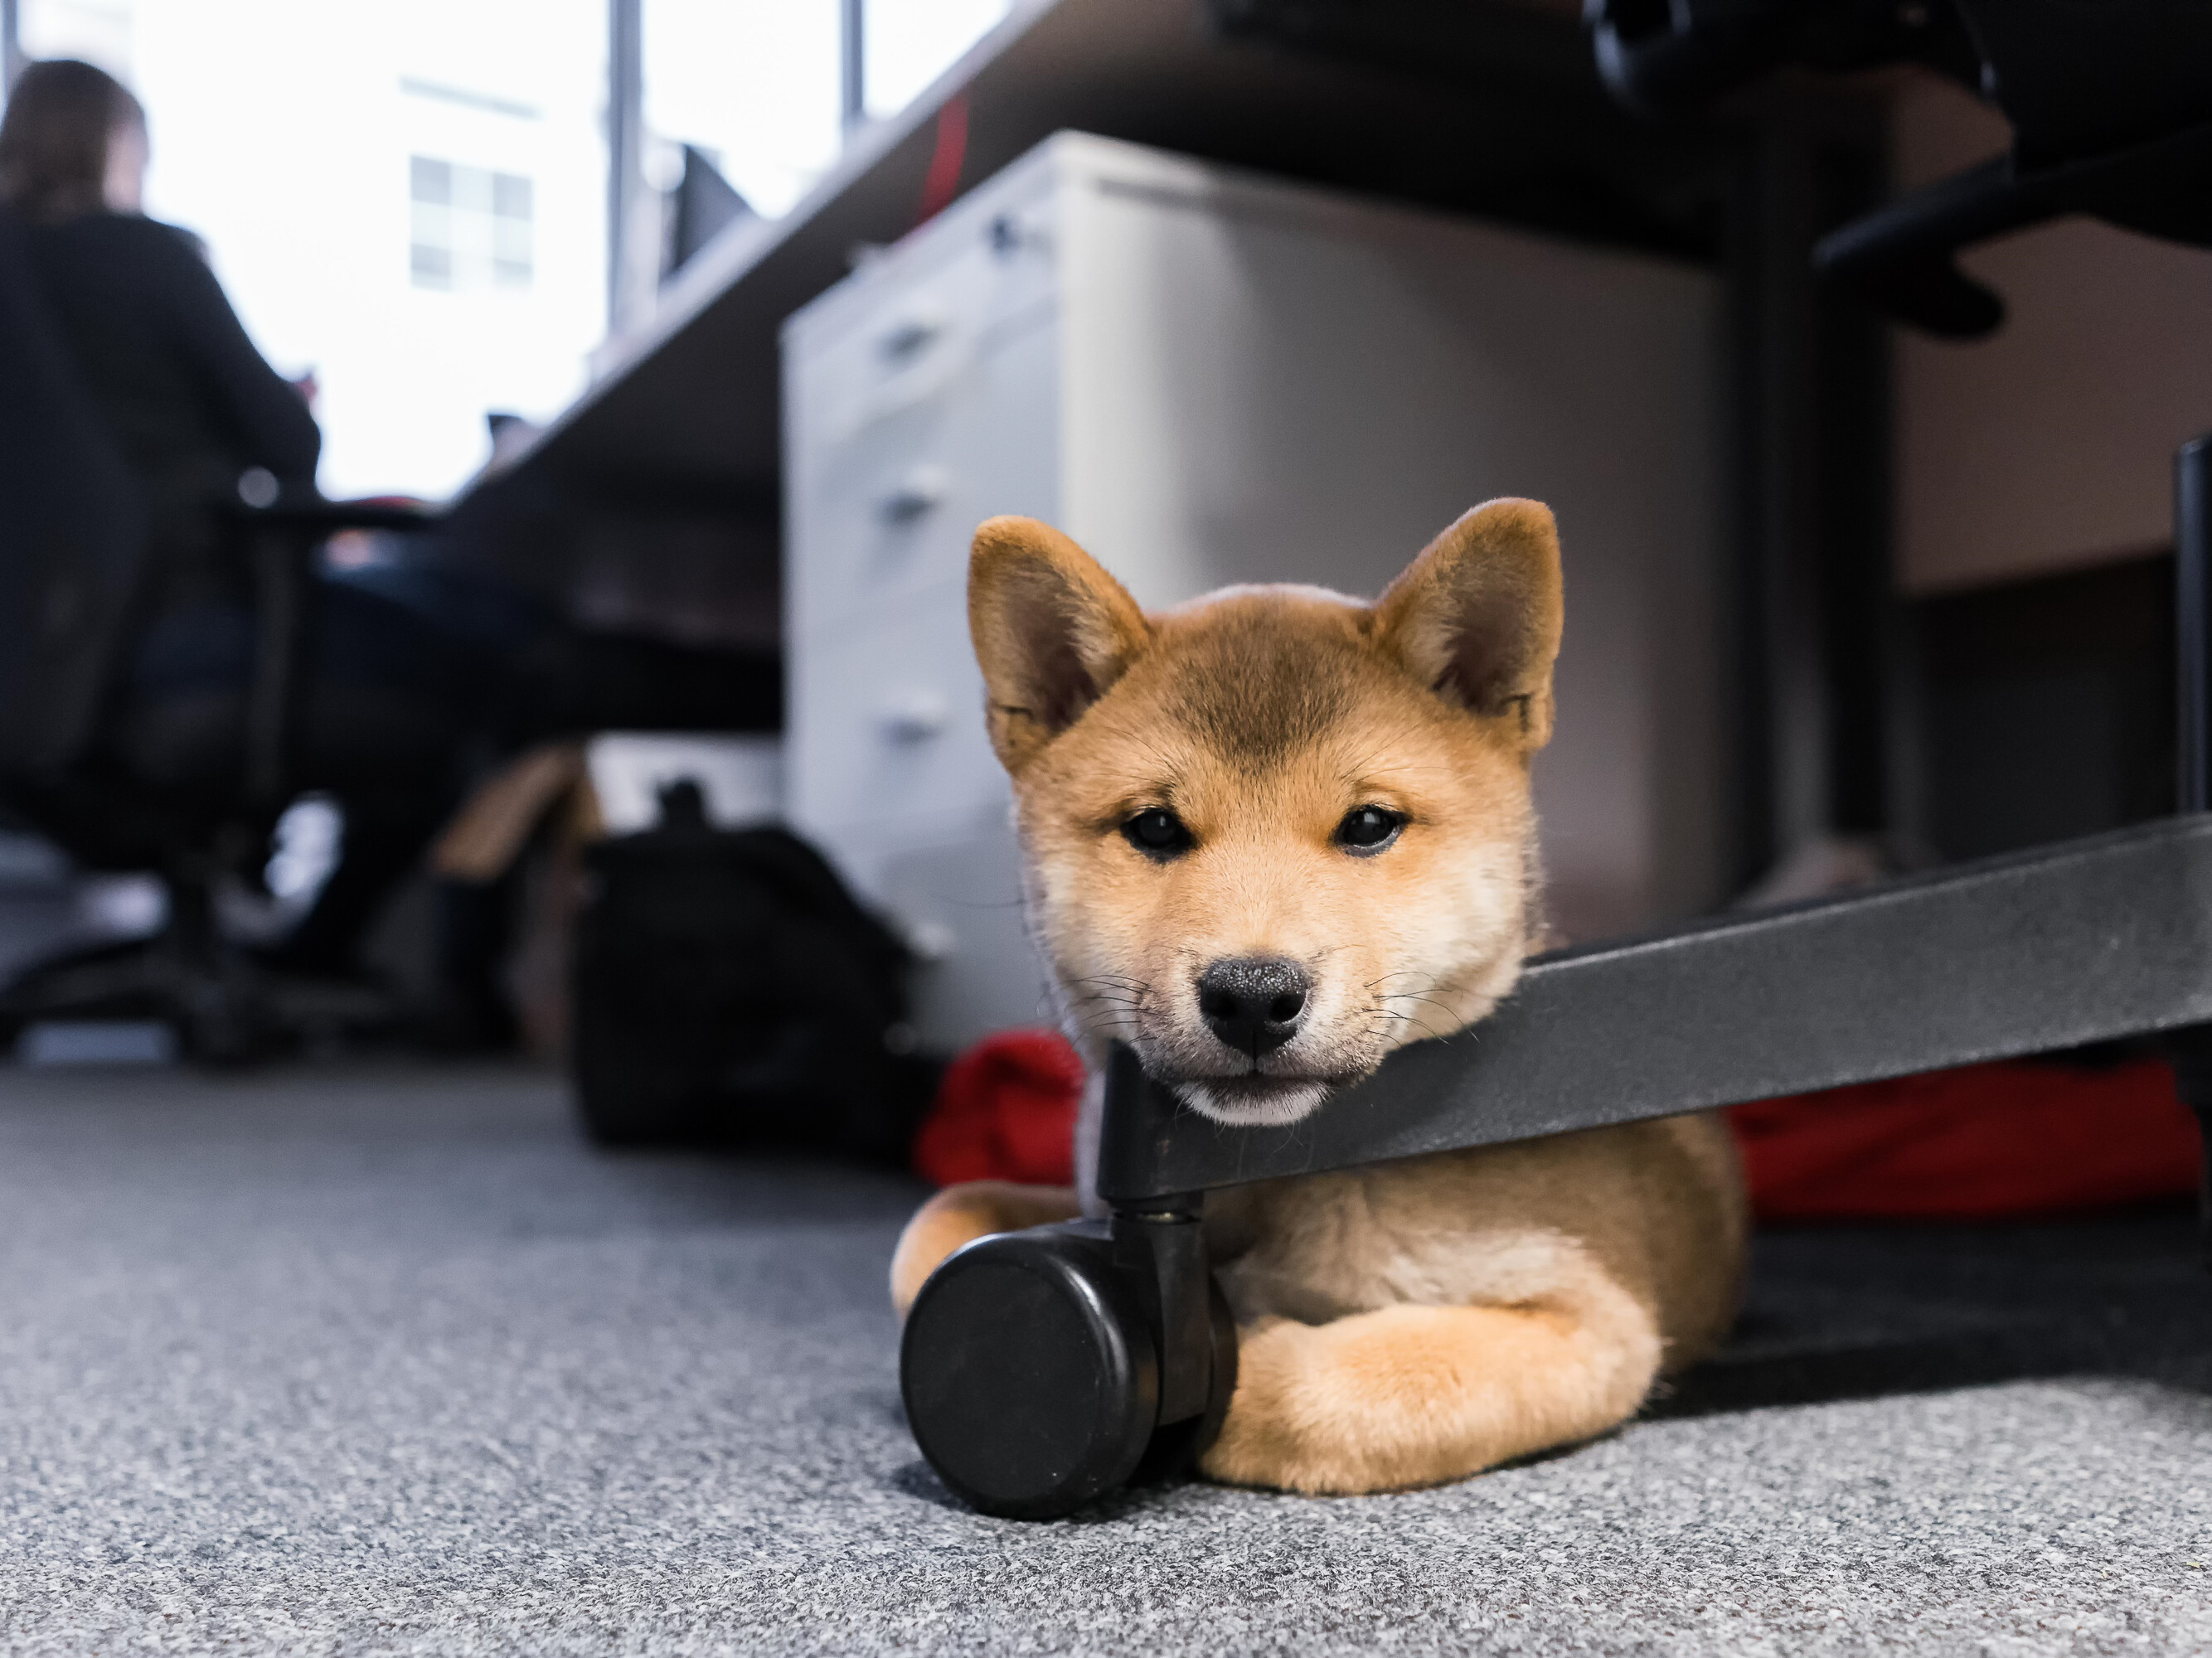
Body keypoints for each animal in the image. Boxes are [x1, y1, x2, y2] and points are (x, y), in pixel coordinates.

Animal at [885, 499, 1743, 1503]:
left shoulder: (1590, 1316)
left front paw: (1226, 1357)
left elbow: (1326, 1387)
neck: (1266, 1177)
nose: (1253, 998)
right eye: (1154, 827)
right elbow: (935, 1223)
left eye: (1369, 824)